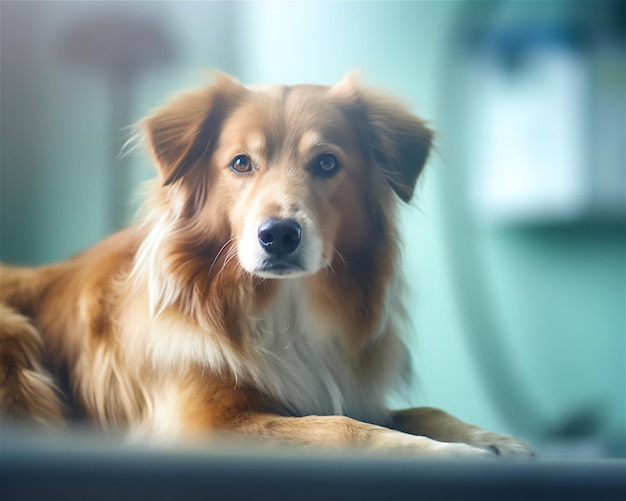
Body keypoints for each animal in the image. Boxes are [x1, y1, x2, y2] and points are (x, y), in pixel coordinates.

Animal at [0, 71, 532, 458]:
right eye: (241, 163)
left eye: (326, 163)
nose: (278, 235)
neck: (283, 309)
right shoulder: (197, 423)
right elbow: (339, 429)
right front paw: (450, 455)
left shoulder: (350, 389)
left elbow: (419, 409)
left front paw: (491, 439)